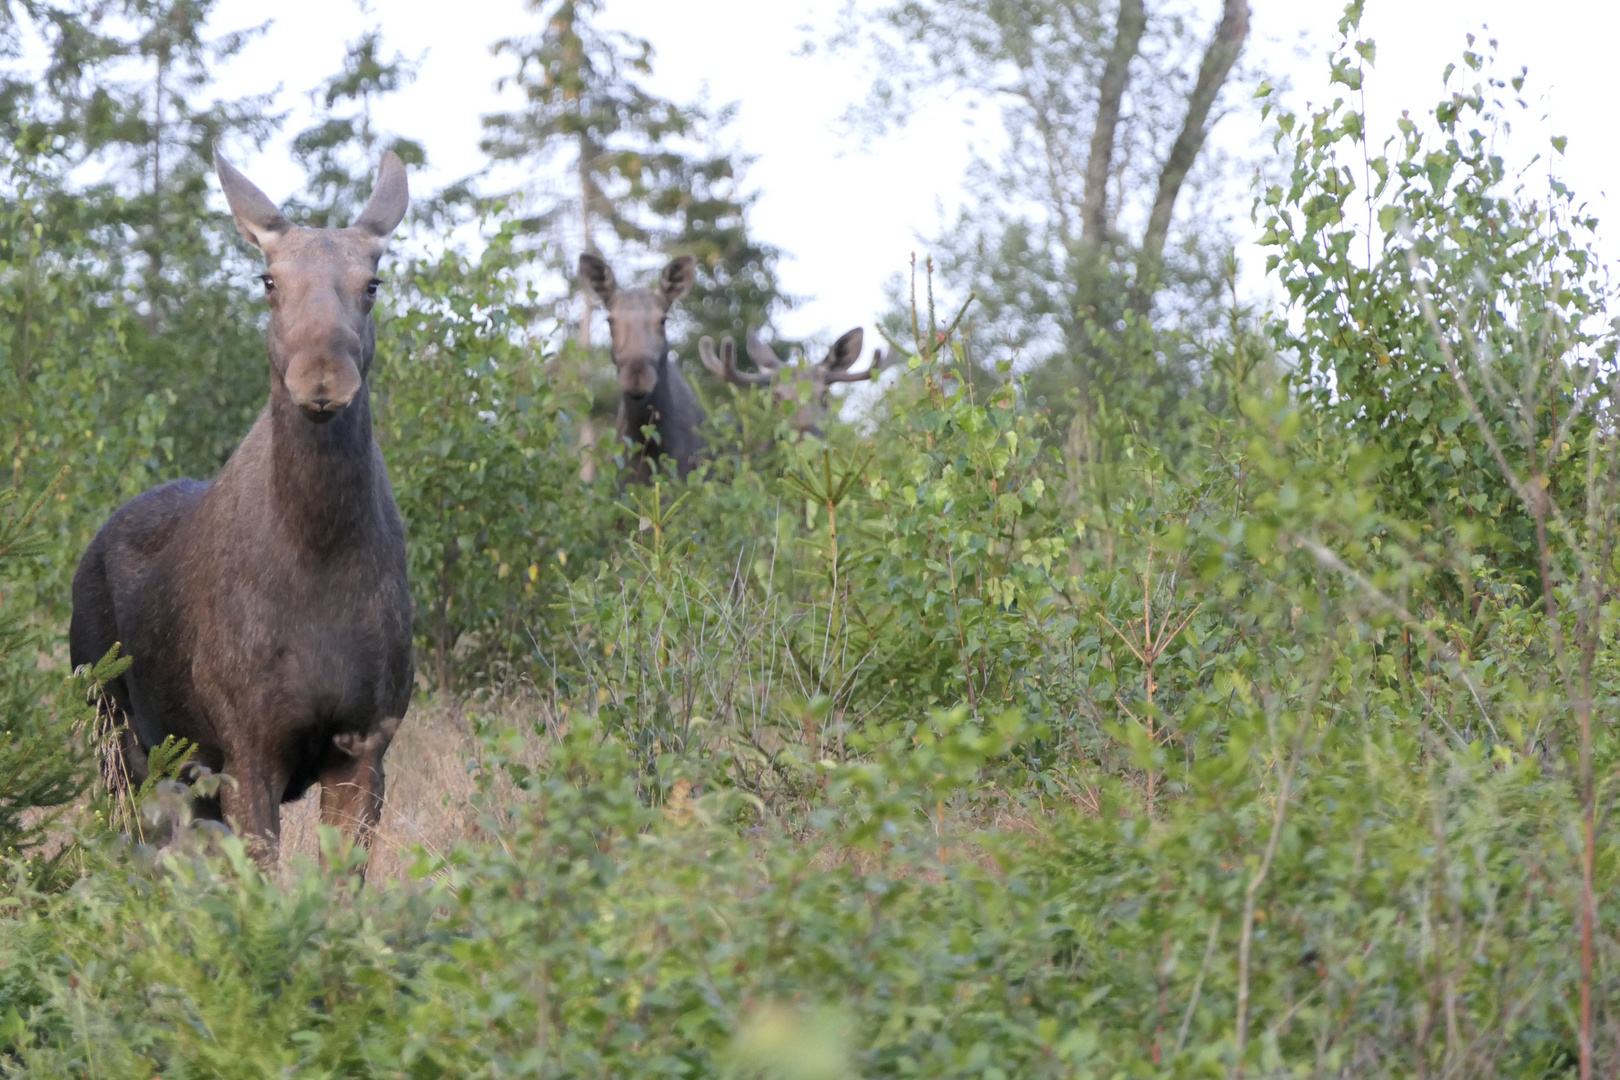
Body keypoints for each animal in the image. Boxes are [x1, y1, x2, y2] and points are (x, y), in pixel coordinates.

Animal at [70, 149, 414, 867]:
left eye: (372, 282)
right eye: (268, 280)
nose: (321, 375)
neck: (320, 545)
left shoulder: (367, 747)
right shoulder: (248, 749)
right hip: (116, 735)